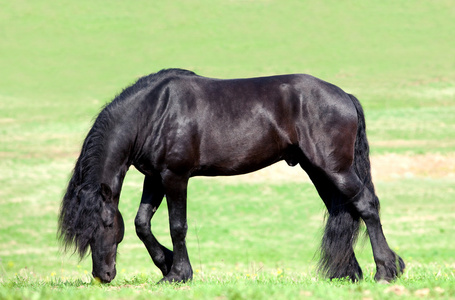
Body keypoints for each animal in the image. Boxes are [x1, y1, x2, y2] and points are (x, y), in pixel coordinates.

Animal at [58, 68, 406, 284]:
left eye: (103, 225)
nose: (102, 275)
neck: (154, 111)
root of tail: (345, 96)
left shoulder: (175, 177)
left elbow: (177, 226)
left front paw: (178, 274)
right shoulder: (154, 177)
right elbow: (142, 223)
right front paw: (166, 264)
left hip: (335, 168)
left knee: (366, 206)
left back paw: (386, 271)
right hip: (319, 170)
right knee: (345, 210)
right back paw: (348, 272)